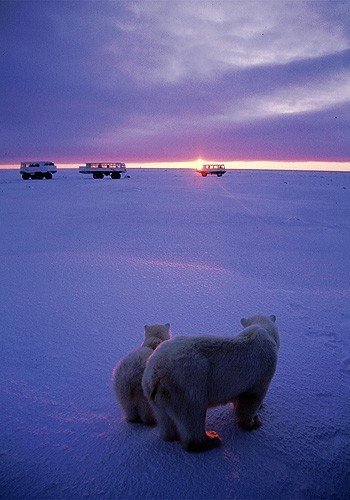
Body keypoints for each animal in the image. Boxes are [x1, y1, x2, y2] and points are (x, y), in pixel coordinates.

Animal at [142, 316, 278, 454]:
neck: (262, 329)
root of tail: (156, 373)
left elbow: (238, 397)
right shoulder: (262, 371)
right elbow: (252, 400)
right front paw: (252, 422)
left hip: (156, 395)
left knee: (164, 418)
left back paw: (172, 436)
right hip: (187, 385)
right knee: (193, 415)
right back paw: (211, 440)